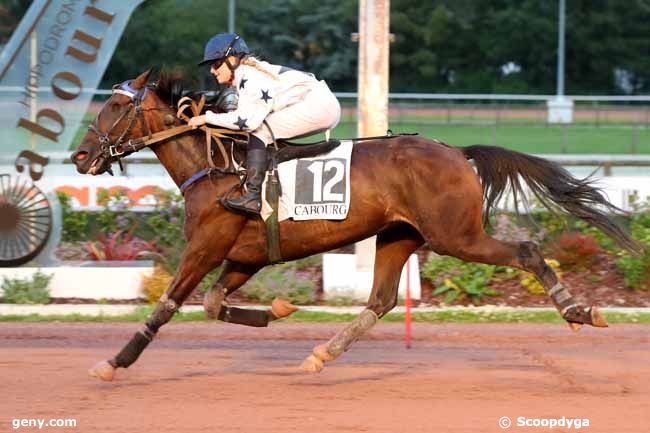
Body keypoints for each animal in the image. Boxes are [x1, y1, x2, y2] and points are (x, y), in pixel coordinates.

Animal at [71, 71, 636, 382]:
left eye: (115, 105)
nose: (79, 155)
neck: (214, 167)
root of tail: (457, 151)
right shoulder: (245, 256)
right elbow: (213, 304)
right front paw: (277, 310)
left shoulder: (206, 248)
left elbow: (167, 306)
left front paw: (114, 362)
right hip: (400, 235)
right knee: (380, 300)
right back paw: (323, 353)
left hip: (457, 235)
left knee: (528, 251)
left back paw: (579, 311)